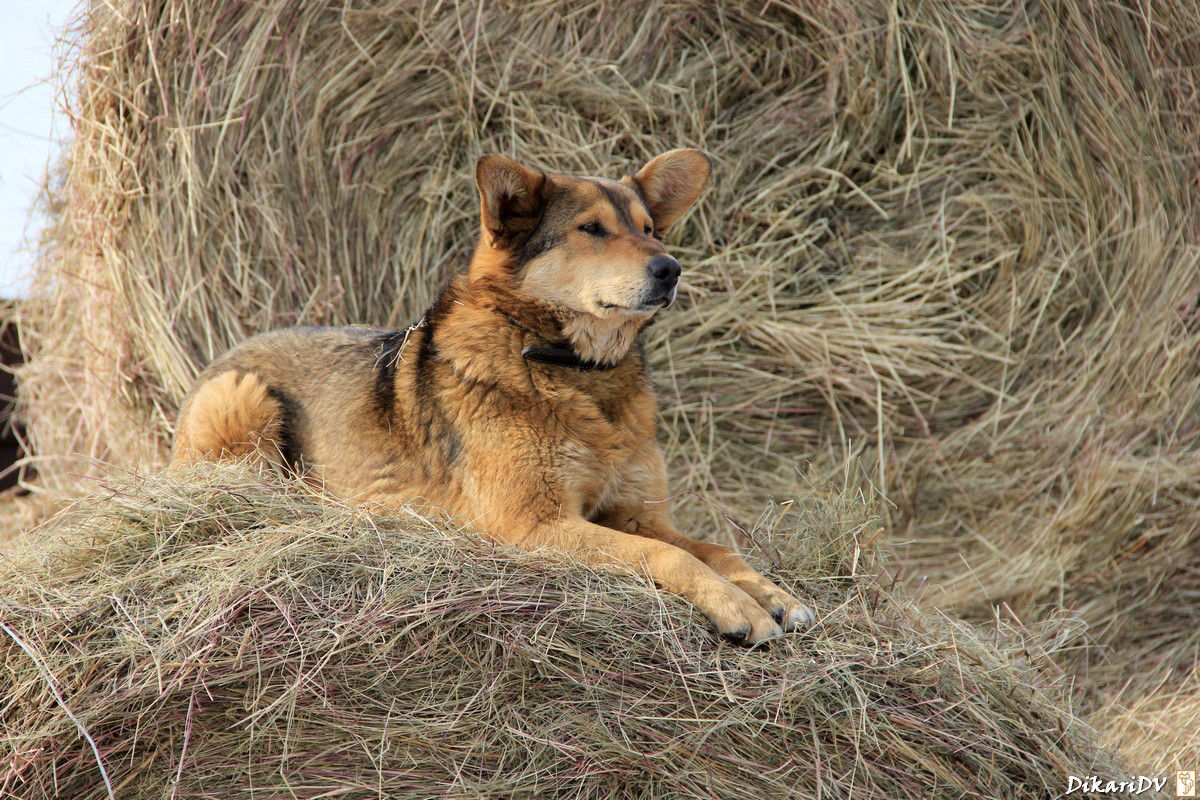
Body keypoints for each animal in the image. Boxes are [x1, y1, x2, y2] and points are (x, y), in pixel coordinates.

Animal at [171, 148, 816, 642]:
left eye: (649, 228)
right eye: (592, 230)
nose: (671, 268)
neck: (568, 366)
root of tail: (229, 351)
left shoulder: (635, 512)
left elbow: (714, 549)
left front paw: (771, 593)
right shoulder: (532, 526)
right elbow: (668, 555)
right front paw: (738, 607)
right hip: (240, 401)